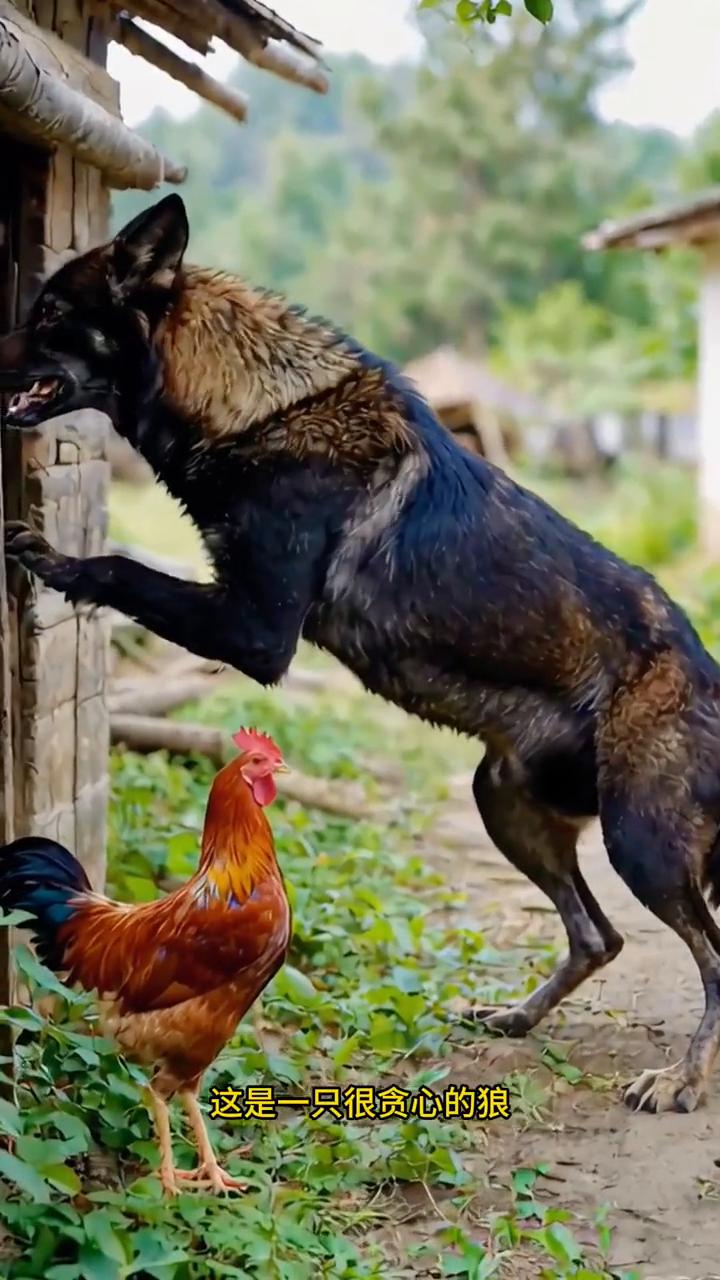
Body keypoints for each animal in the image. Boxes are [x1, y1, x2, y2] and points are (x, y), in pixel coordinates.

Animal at [1, 192, 717, 1111]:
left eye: (52, 315)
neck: (261, 407)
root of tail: (709, 675)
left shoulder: (255, 631)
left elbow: (121, 566)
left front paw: (55, 560)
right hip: (504, 803)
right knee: (598, 936)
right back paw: (519, 1017)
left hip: (639, 841)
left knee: (708, 956)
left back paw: (682, 1078)